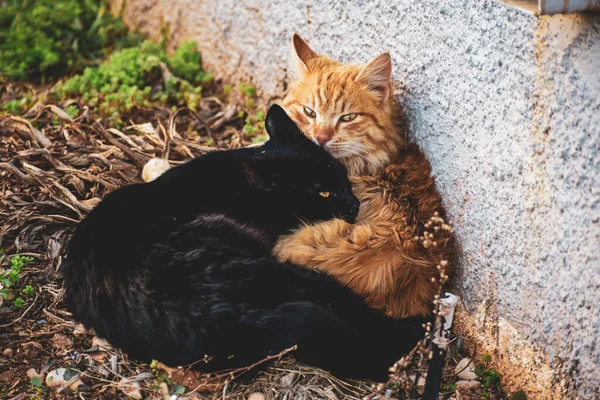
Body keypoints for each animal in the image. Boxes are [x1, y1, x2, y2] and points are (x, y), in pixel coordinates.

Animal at [62, 104, 422, 382]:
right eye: (322, 192)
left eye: (343, 178)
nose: (354, 204)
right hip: (273, 268)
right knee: (335, 299)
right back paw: (413, 331)